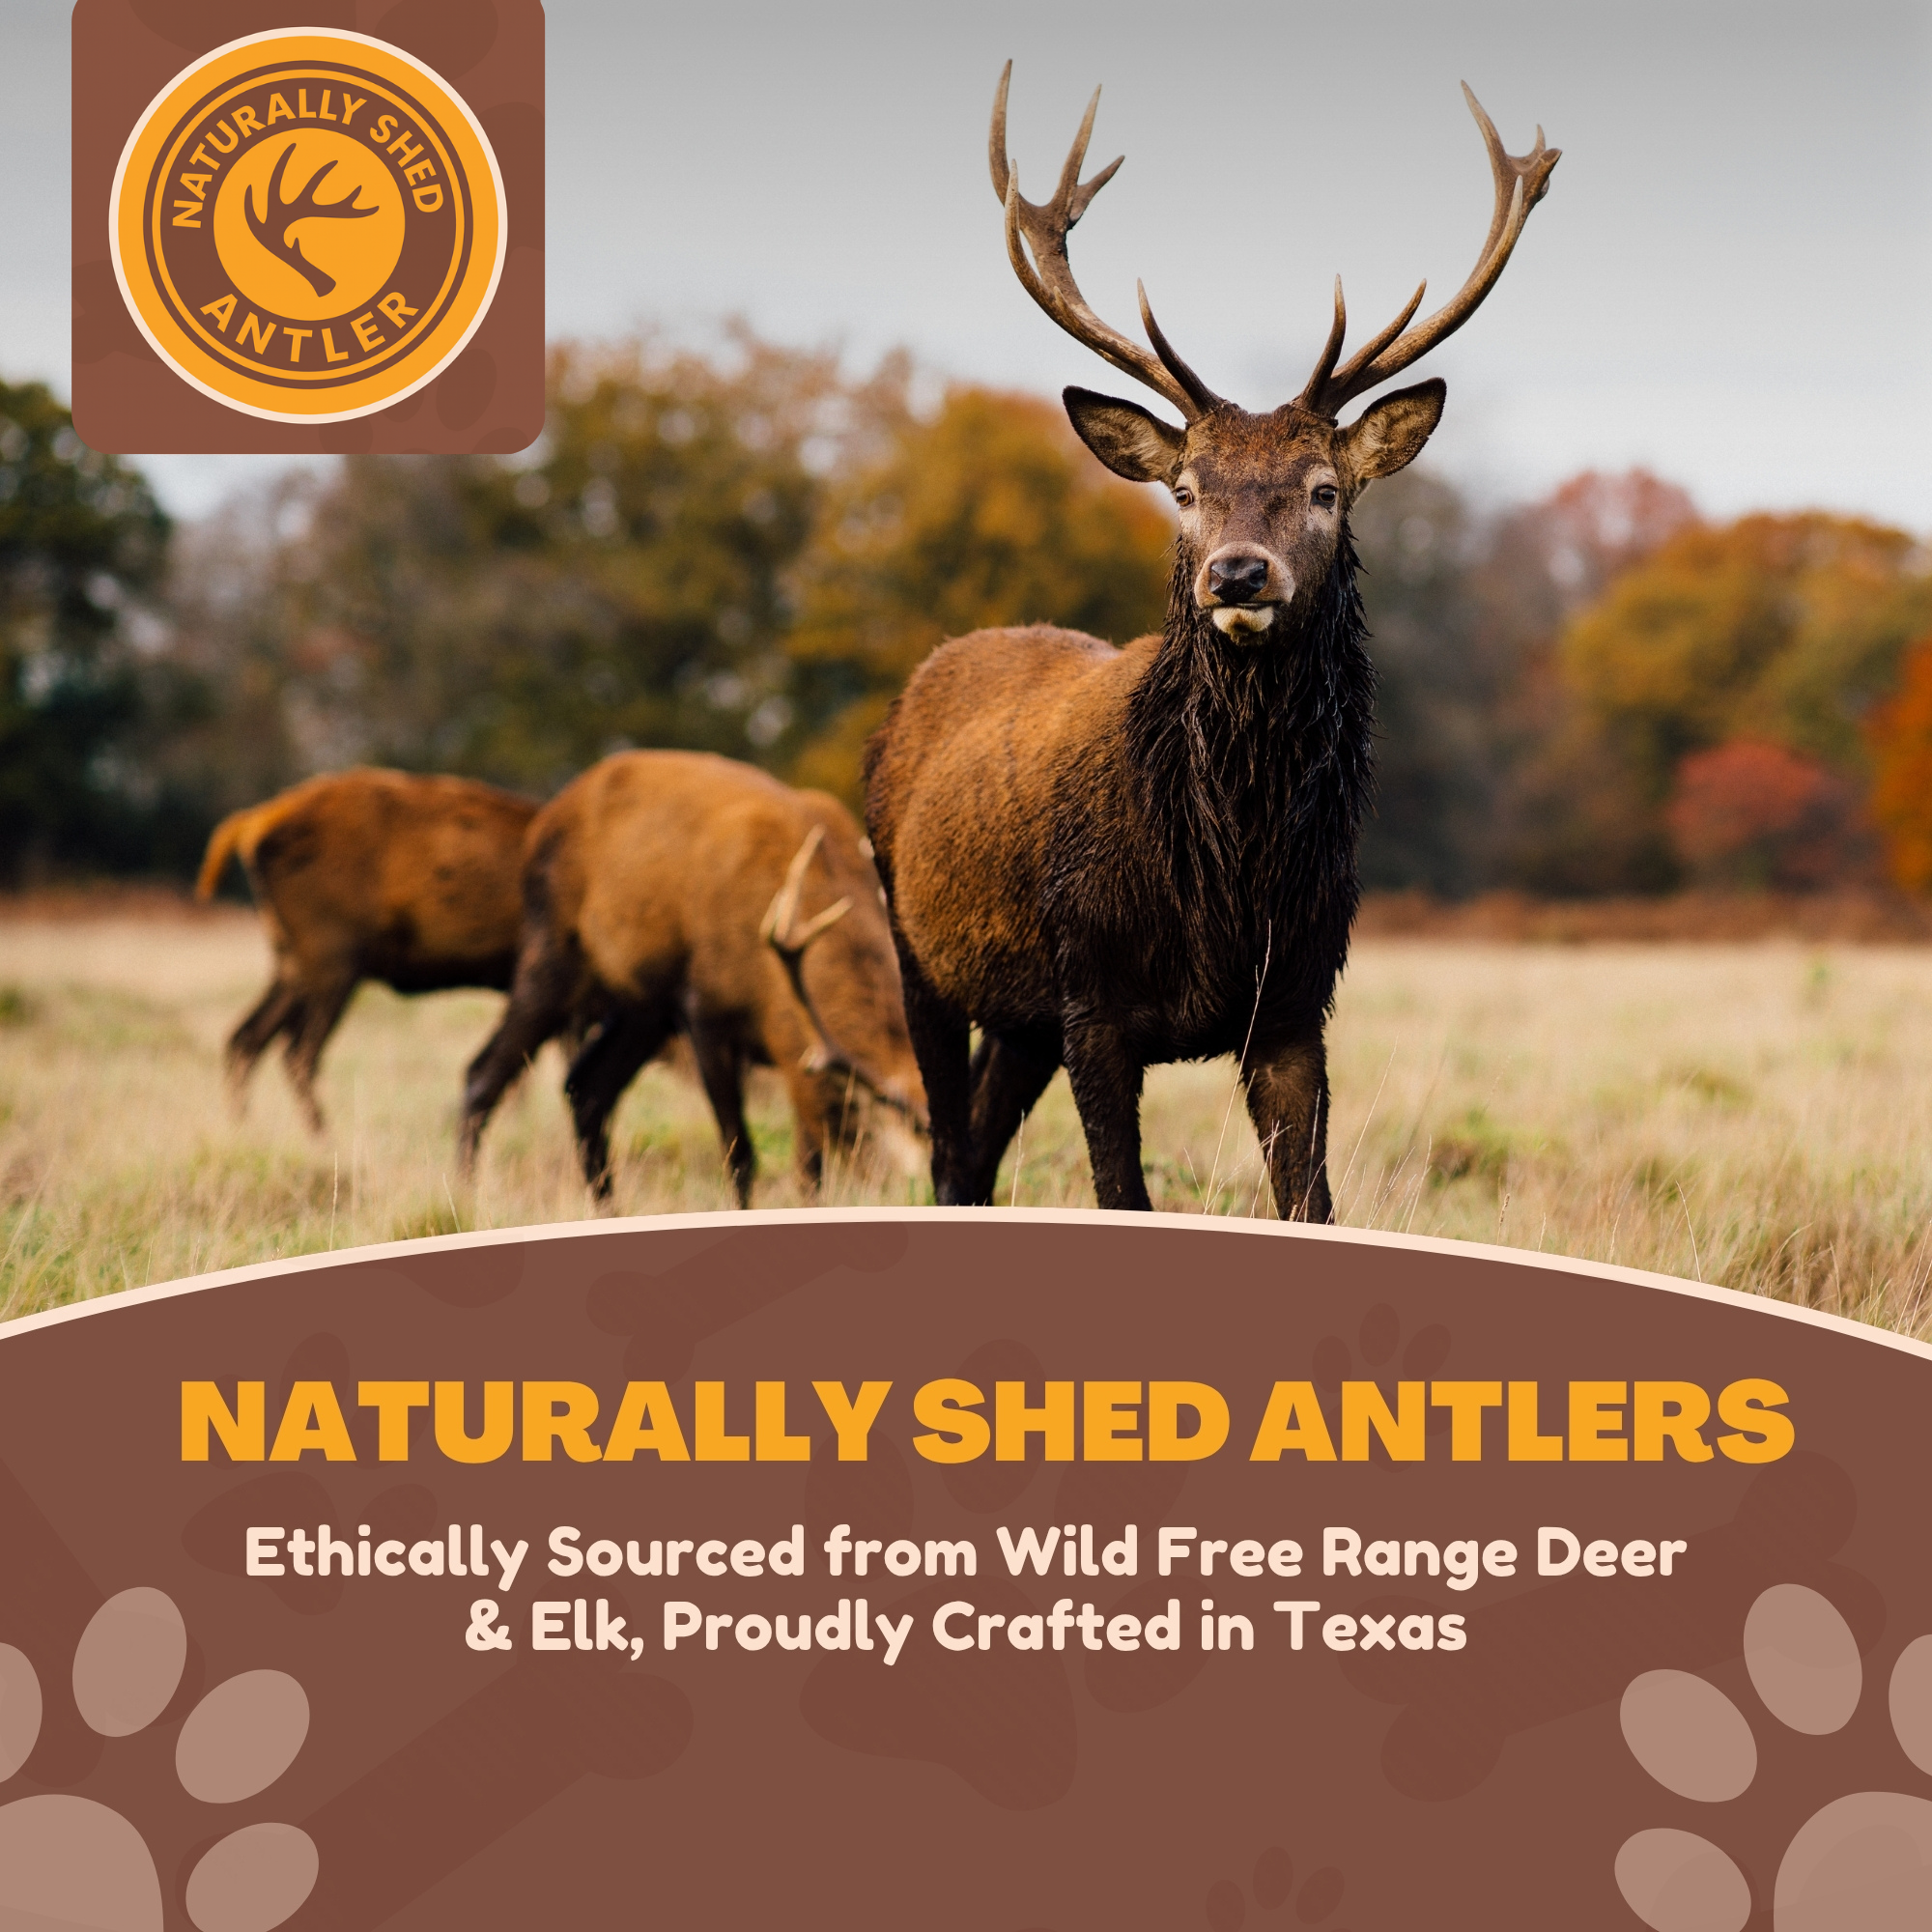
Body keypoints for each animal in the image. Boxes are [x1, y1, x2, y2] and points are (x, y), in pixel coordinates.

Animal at [863, 66, 1557, 1218]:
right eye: (1184, 490)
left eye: (1323, 489)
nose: (1235, 573)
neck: (1226, 877)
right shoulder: (1092, 995)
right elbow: (1121, 1193)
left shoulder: (1296, 1002)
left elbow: (1312, 1203)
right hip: (917, 948)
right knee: (947, 1148)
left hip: (1018, 1013)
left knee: (973, 1147)